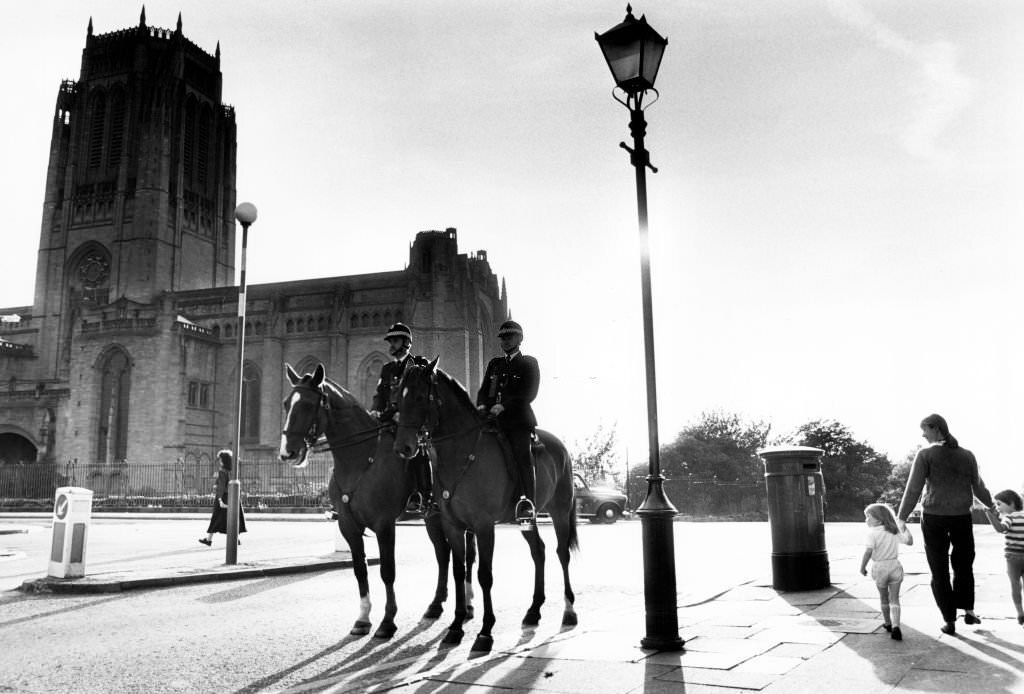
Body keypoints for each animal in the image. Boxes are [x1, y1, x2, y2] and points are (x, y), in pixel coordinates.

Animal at [278, 364, 473, 642]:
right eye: (286, 403)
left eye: (307, 404)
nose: (288, 453)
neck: (360, 460)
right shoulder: (348, 525)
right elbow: (360, 569)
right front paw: (363, 619)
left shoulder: (384, 525)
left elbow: (387, 570)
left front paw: (387, 621)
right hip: (432, 517)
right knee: (442, 553)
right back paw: (435, 605)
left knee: (467, 555)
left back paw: (467, 604)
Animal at [395, 356, 581, 655]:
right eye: (398, 397)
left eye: (421, 396)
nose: (403, 447)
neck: (461, 453)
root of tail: (560, 446)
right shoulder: (453, 526)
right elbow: (459, 571)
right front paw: (456, 627)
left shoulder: (483, 526)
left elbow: (484, 574)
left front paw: (485, 632)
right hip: (526, 519)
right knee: (539, 552)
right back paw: (533, 611)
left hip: (560, 512)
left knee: (561, 553)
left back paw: (569, 611)